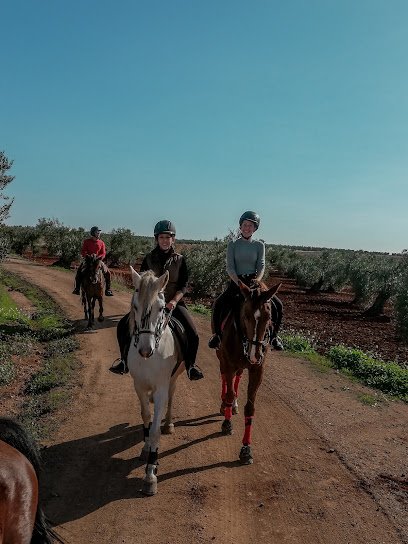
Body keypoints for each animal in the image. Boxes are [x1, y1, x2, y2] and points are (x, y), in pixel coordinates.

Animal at [217, 280, 280, 464]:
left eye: (269, 318)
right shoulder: (229, 363)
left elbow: (250, 408)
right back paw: (225, 405)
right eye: (245, 316)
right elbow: (229, 392)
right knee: (224, 379)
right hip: (221, 358)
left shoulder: (257, 370)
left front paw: (246, 449)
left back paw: (234, 406)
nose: (255, 355)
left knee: (237, 378)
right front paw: (227, 424)